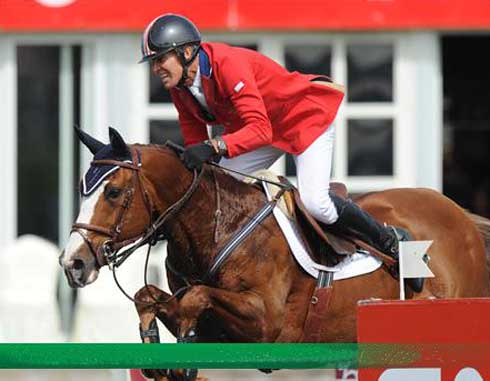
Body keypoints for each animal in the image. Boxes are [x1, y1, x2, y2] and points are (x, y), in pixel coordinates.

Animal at [60, 128, 490, 380]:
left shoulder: (267, 324)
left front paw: (183, 347)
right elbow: (149, 296)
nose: (73, 262)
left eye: (113, 191)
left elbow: (195, 298)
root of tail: (460, 215)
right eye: (82, 188)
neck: (215, 226)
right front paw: (157, 351)